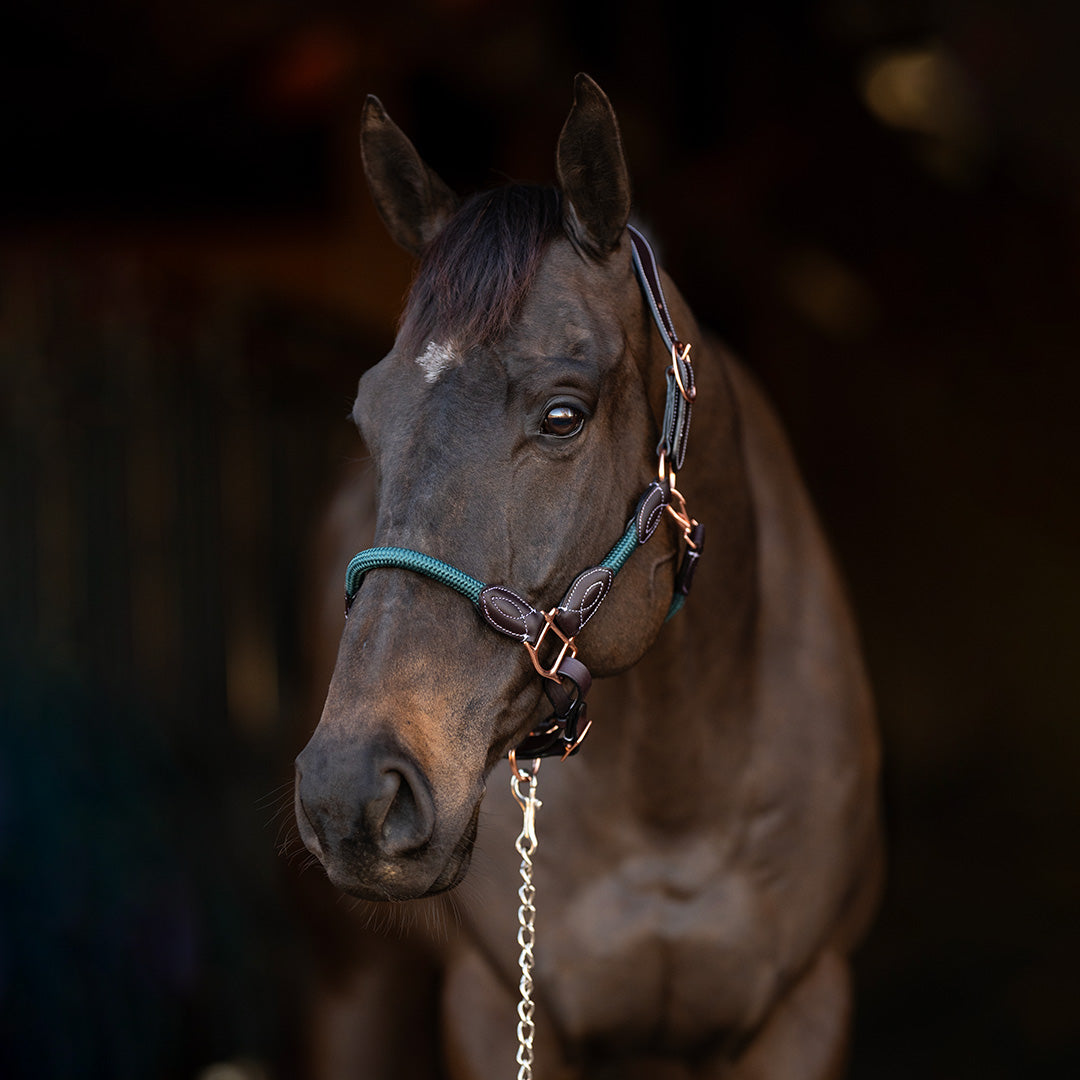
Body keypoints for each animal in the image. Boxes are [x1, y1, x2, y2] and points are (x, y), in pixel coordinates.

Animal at [294, 74, 883, 1080]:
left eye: (563, 414)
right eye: (369, 416)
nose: (351, 791)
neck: (676, 793)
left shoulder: (804, 1012)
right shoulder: (499, 1009)